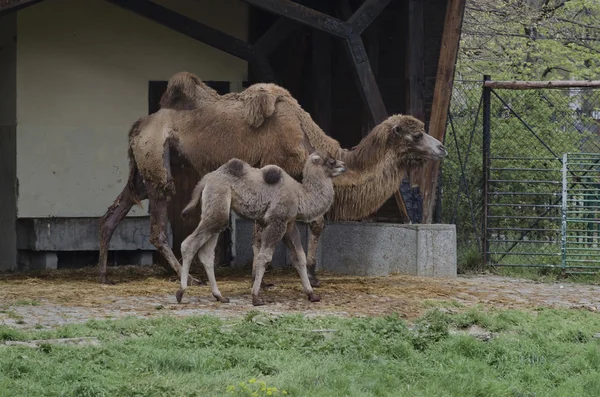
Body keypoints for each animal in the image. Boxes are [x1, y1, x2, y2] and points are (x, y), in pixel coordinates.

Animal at [97, 72, 446, 284]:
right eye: (416, 135)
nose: (441, 147)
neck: (306, 139)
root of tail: (139, 125)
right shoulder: (277, 174)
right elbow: (294, 226)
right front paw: (297, 273)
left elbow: (308, 224)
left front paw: (301, 273)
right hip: (157, 164)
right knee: (157, 227)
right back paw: (191, 277)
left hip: (145, 170)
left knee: (114, 213)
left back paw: (103, 274)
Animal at [176, 152, 344, 306]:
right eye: (331, 161)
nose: (343, 165)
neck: (300, 195)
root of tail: (206, 179)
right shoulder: (277, 221)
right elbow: (264, 257)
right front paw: (256, 297)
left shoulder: (289, 225)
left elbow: (299, 258)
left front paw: (312, 294)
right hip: (218, 202)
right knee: (188, 244)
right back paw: (181, 292)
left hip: (216, 211)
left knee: (207, 253)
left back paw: (219, 296)